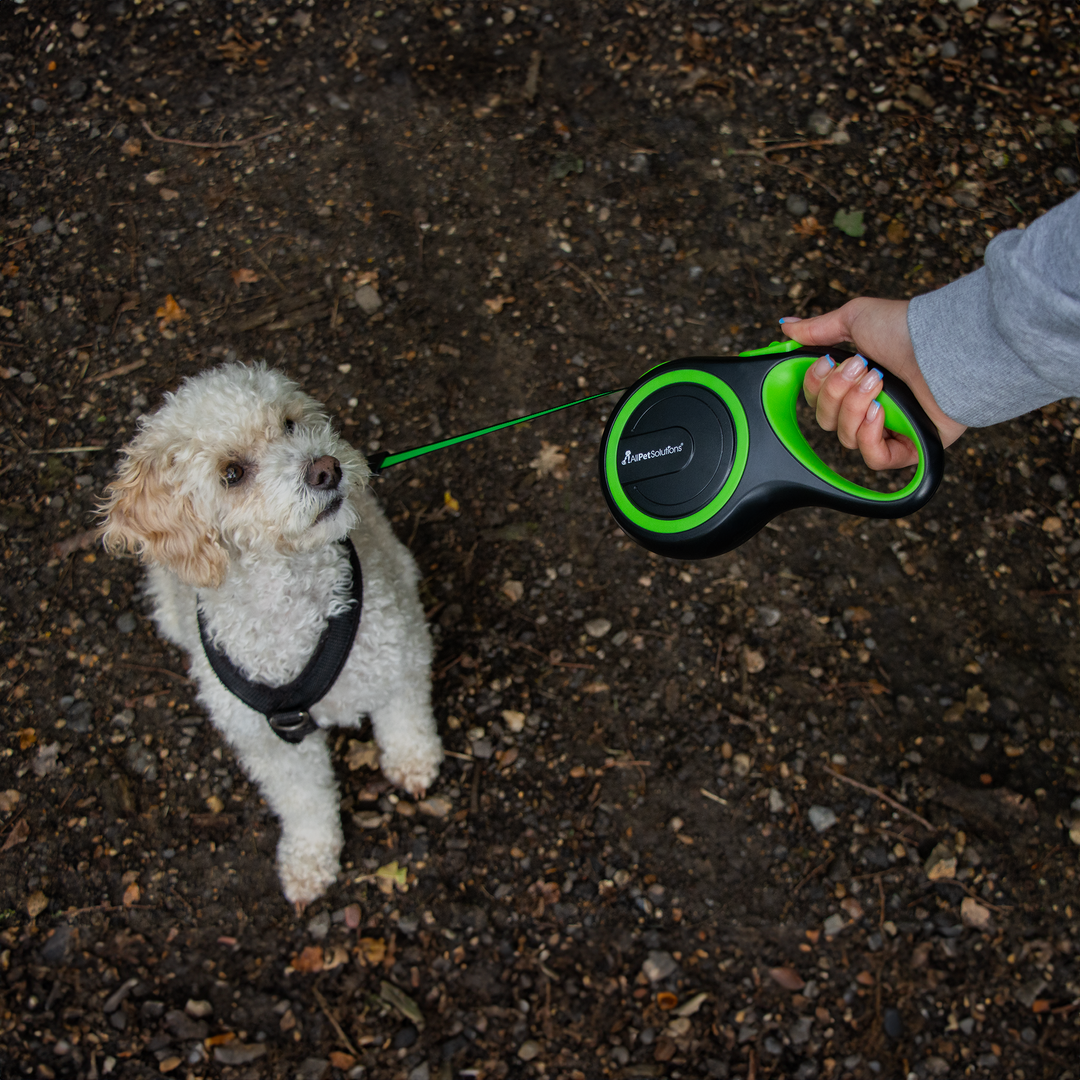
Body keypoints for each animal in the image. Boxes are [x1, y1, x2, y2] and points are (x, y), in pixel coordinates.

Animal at [99, 365, 440, 911]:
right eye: (231, 473)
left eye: (289, 425)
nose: (325, 469)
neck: (293, 607)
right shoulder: (273, 746)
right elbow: (305, 803)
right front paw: (309, 859)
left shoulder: (396, 659)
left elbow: (406, 722)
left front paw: (414, 762)